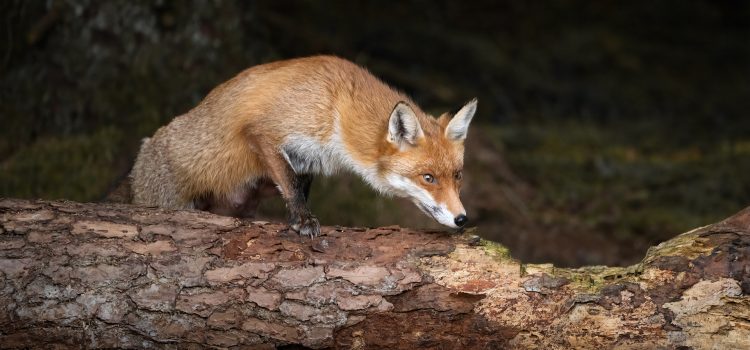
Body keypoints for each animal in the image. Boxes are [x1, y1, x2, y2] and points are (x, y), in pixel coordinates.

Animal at [131, 56, 476, 237]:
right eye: (428, 178)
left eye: (458, 176)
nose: (462, 219)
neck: (336, 108)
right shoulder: (265, 132)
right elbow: (292, 186)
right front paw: (302, 220)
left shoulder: (307, 160)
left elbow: (296, 183)